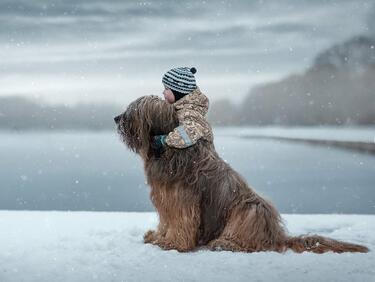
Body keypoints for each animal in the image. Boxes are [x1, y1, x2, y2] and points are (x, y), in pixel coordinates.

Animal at [115, 96, 370, 254]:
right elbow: (166, 221)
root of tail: (277, 236)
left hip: (250, 209)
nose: (117, 118)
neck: (167, 149)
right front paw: (157, 237)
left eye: (134, 111)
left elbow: (181, 222)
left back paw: (225, 243)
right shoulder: (165, 199)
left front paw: (173, 243)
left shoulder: (181, 200)